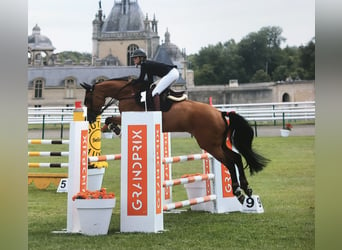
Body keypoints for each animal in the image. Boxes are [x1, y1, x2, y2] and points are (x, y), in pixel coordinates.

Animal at [81, 76, 270, 203]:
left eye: (88, 99)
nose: (89, 118)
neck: (129, 93)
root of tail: (220, 113)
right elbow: (109, 120)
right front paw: (112, 129)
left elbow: (109, 119)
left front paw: (116, 128)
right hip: (219, 144)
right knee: (236, 158)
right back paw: (246, 188)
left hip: (210, 145)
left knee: (230, 162)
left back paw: (237, 191)